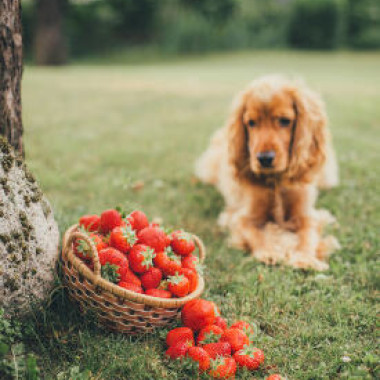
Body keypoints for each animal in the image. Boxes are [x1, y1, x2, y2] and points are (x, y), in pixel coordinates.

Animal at [196, 75, 338, 270]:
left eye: (285, 120)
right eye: (251, 123)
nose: (264, 159)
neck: (276, 181)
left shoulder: (307, 214)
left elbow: (308, 236)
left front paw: (305, 258)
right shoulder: (241, 217)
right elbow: (254, 233)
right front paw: (269, 251)